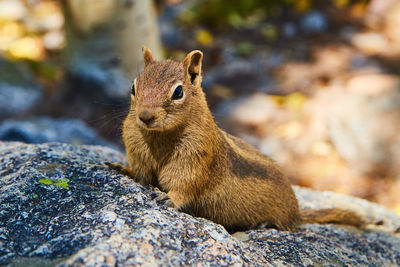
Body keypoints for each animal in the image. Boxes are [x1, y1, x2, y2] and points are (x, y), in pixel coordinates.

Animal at [109, 47, 366, 233]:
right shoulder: (137, 152)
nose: (145, 116)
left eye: (178, 92)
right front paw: (121, 168)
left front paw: (168, 196)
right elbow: (141, 174)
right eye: (133, 87)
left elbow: (187, 186)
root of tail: (297, 212)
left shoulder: (196, 160)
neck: (160, 136)